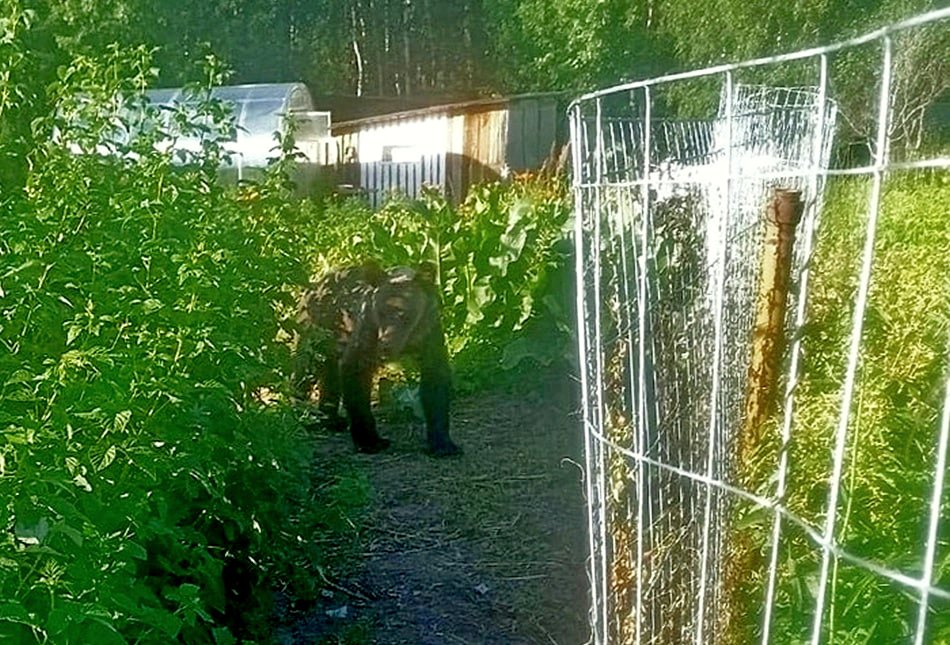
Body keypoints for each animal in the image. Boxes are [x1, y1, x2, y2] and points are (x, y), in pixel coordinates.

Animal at [296, 260, 462, 456]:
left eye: (404, 314)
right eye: (380, 312)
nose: (385, 345)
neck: (407, 342)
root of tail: (315, 284)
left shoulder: (429, 335)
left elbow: (435, 386)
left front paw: (443, 444)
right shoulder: (366, 335)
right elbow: (356, 383)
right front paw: (370, 441)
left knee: (330, 375)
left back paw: (331, 420)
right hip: (314, 333)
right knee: (302, 371)